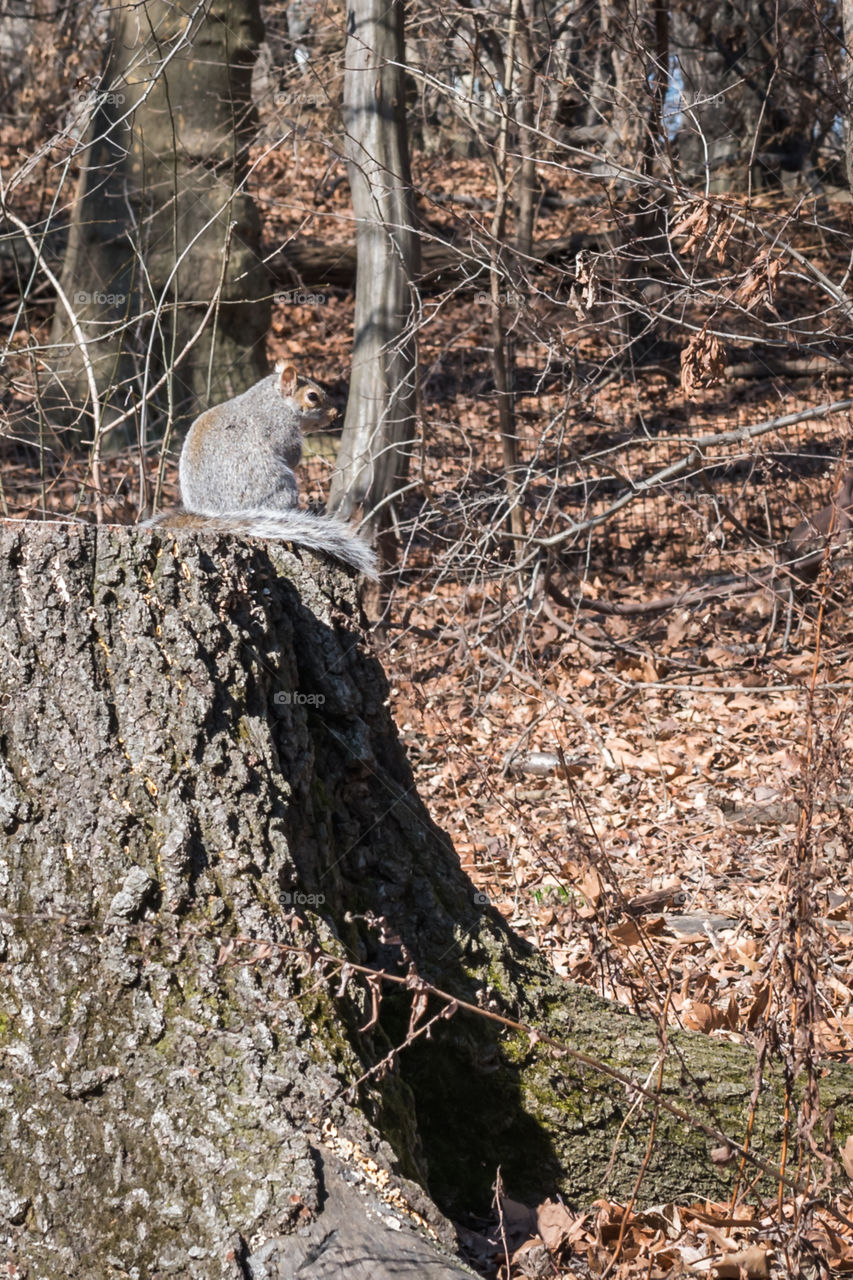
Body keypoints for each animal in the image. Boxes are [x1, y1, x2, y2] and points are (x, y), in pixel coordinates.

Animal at [143, 363, 377, 578]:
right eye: (312, 396)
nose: (336, 413)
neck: (273, 399)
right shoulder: (282, 429)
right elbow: (292, 454)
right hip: (279, 486)